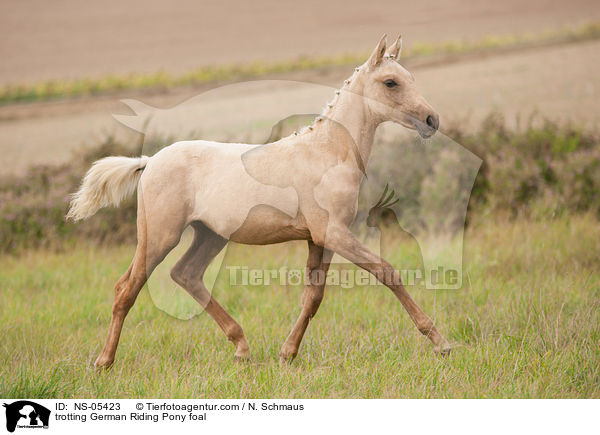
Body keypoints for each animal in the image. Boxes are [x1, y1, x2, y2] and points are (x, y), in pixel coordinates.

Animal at [68, 35, 450, 368]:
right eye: (390, 82)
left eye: (410, 78)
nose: (432, 120)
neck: (326, 153)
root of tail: (149, 162)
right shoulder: (334, 233)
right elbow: (387, 272)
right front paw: (440, 342)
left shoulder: (320, 238)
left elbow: (313, 296)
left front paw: (288, 354)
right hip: (160, 235)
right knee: (127, 288)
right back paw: (104, 362)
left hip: (210, 235)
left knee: (186, 274)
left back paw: (241, 347)